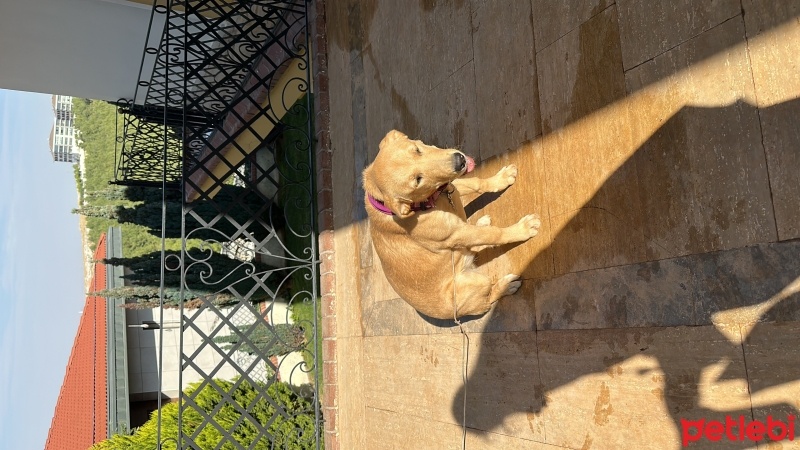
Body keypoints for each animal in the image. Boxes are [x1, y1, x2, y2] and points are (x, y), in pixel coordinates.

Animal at [364, 130, 544, 320]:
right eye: (417, 180)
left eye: (417, 150)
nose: (460, 161)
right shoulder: (456, 232)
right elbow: (496, 234)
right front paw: (524, 229)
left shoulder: (451, 187)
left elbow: (477, 183)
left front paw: (501, 179)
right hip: (475, 283)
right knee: (488, 297)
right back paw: (507, 285)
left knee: (473, 246)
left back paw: (481, 223)